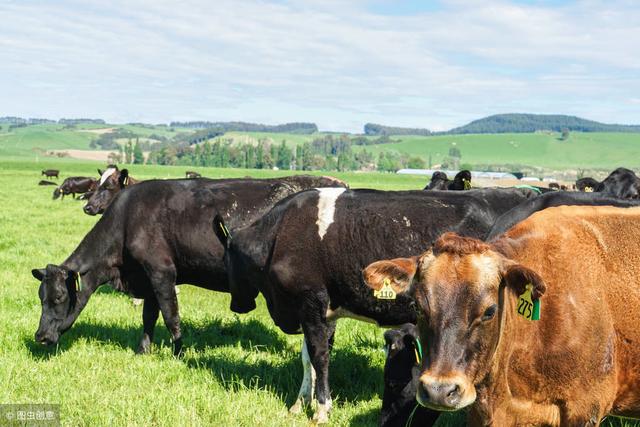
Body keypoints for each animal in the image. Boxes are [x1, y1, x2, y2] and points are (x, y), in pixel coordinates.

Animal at [31, 176, 344, 356]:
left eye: (59, 297)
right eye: (40, 297)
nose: (41, 337)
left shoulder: (162, 272)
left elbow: (171, 316)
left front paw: (179, 353)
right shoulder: (148, 278)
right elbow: (149, 316)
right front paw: (143, 351)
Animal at [211, 188, 536, 424]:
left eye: (226, 259)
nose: (237, 306)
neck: (281, 235)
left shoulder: (312, 303)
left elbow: (319, 357)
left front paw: (321, 409)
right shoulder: (317, 311)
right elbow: (307, 360)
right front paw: (299, 403)